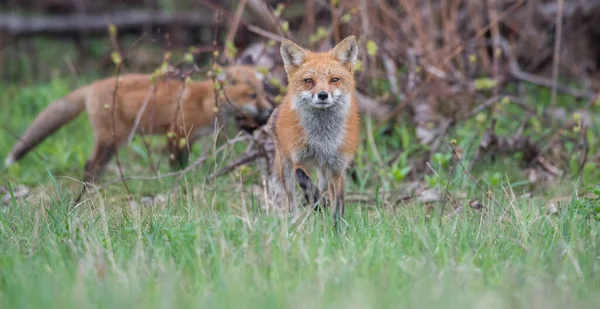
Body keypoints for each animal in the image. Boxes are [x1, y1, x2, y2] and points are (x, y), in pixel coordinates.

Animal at [4, 63, 272, 202]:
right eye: (252, 95)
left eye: (262, 92)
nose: (269, 111)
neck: (209, 102)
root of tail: (92, 86)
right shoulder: (177, 132)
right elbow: (177, 165)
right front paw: (174, 181)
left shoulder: (195, 136)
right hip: (111, 139)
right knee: (90, 165)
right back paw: (86, 192)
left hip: (115, 143)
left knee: (96, 167)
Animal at [264, 36, 358, 229]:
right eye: (309, 81)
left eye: (334, 79)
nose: (322, 95)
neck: (322, 140)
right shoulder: (298, 159)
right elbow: (304, 181)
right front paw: (316, 202)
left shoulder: (337, 168)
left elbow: (338, 204)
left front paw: (338, 229)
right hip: (285, 167)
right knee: (292, 199)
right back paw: (296, 218)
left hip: (325, 172)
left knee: (324, 188)